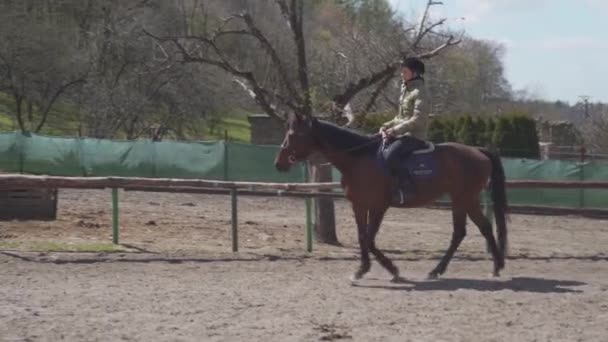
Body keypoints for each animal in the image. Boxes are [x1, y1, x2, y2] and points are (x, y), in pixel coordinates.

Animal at [276, 113, 508, 282]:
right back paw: (494, 267)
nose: (279, 163)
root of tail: (478, 151)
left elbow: (369, 238)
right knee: (480, 228)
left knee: (464, 231)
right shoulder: (359, 205)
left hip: (463, 198)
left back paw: (443, 270)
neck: (360, 158)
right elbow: (362, 236)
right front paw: (363, 269)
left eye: (293, 135)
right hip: (464, 199)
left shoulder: (378, 206)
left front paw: (390, 269)